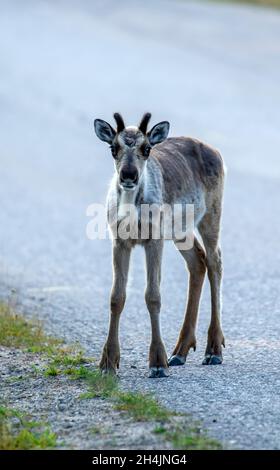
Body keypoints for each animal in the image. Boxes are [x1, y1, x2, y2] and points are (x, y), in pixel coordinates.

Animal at [94, 114, 225, 378]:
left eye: (146, 149)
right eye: (113, 148)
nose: (129, 175)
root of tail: (216, 152)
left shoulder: (153, 238)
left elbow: (153, 295)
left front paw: (156, 362)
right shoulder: (119, 240)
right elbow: (116, 296)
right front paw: (108, 363)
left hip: (211, 213)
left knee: (215, 261)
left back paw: (213, 350)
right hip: (180, 230)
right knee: (198, 262)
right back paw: (180, 351)